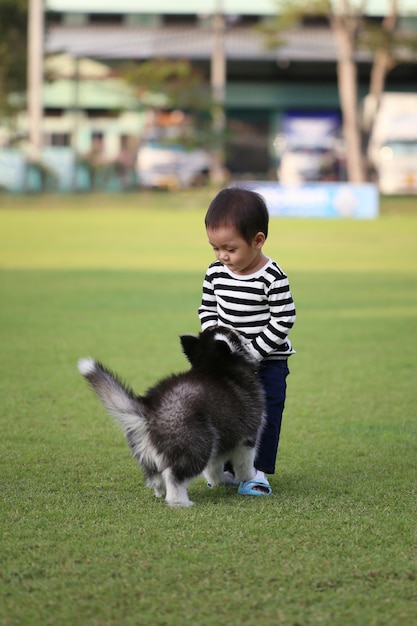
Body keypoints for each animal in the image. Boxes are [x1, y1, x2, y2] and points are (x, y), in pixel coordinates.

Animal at [78, 324, 264, 504]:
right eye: (231, 332)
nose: (240, 331)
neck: (214, 367)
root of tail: (148, 407)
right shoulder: (247, 436)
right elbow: (245, 463)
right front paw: (249, 477)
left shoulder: (220, 442)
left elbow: (214, 468)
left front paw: (221, 481)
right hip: (195, 446)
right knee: (174, 477)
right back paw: (179, 502)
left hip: (157, 450)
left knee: (156, 478)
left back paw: (160, 493)